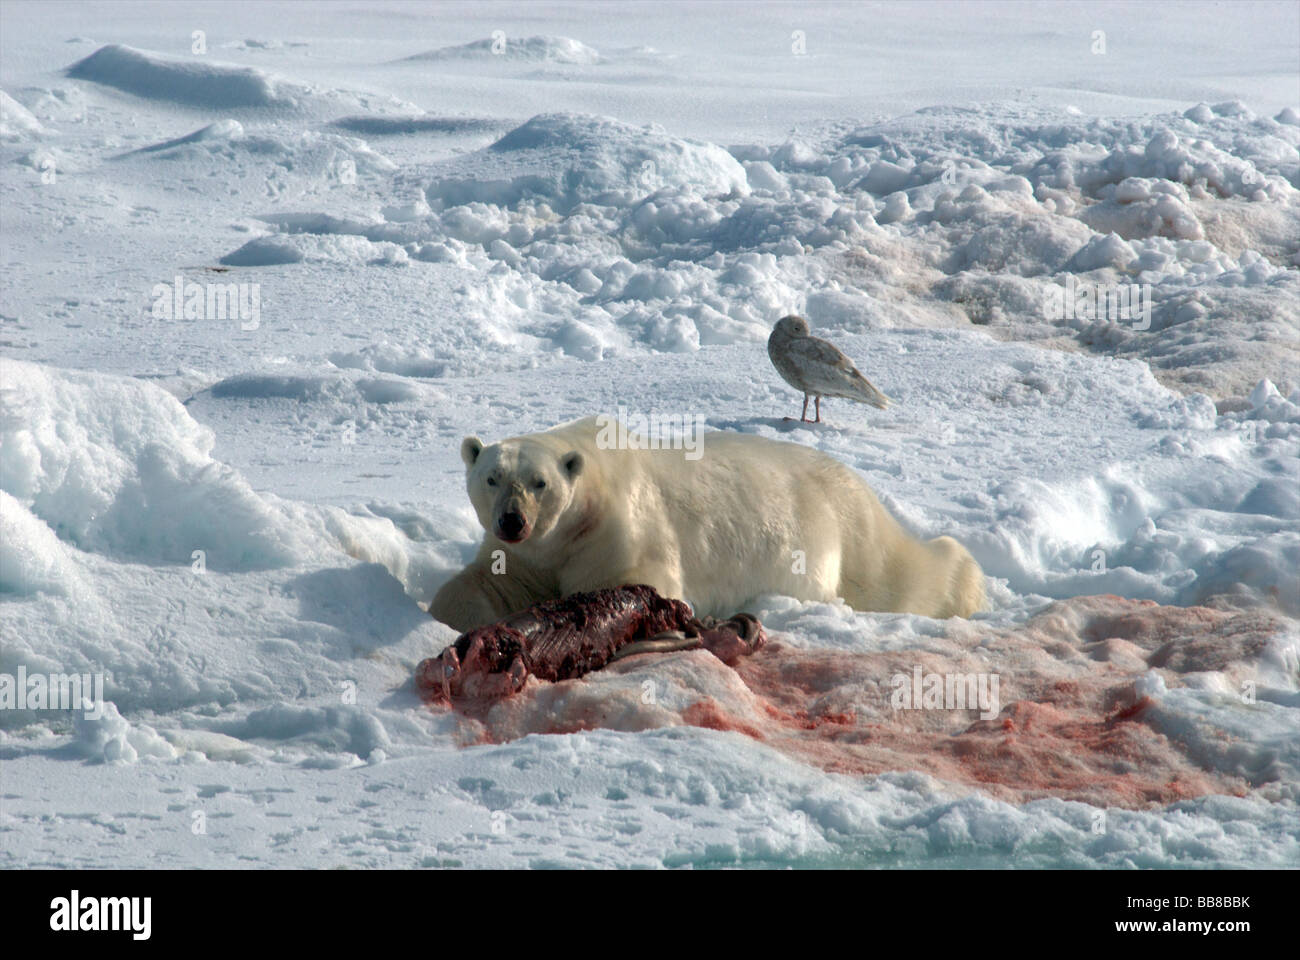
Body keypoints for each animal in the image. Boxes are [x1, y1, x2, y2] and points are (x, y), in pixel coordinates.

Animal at [428, 416, 982, 632]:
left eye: (539, 482)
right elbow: (486, 584)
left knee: (904, 574)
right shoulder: (526, 555)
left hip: (851, 530)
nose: (513, 520)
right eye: (493, 477)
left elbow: (635, 584)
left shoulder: (622, 531)